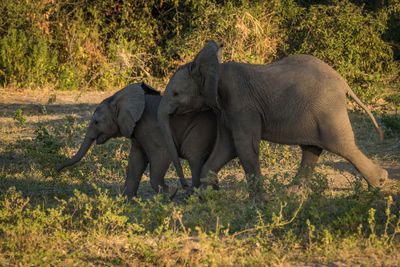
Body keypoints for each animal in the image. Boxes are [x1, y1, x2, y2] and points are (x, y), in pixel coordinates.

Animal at [57, 82, 223, 200]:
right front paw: (126, 200)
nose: (57, 169)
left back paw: (195, 196)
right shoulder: (136, 131)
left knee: (193, 156)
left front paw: (171, 194)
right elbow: (135, 162)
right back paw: (212, 193)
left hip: (201, 127)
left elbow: (161, 156)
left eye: (96, 122)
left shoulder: (150, 128)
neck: (118, 99)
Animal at [158, 40, 390, 195]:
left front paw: (259, 201)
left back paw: (379, 183)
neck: (215, 68)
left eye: (176, 94)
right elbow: (226, 147)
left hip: (328, 108)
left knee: (341, 145)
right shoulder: (225, 110)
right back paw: (292, 192)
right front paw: (204, 195)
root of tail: (343, 82)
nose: (184, 189)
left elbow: (245, 147)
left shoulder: (242, 104)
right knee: (312, 148)